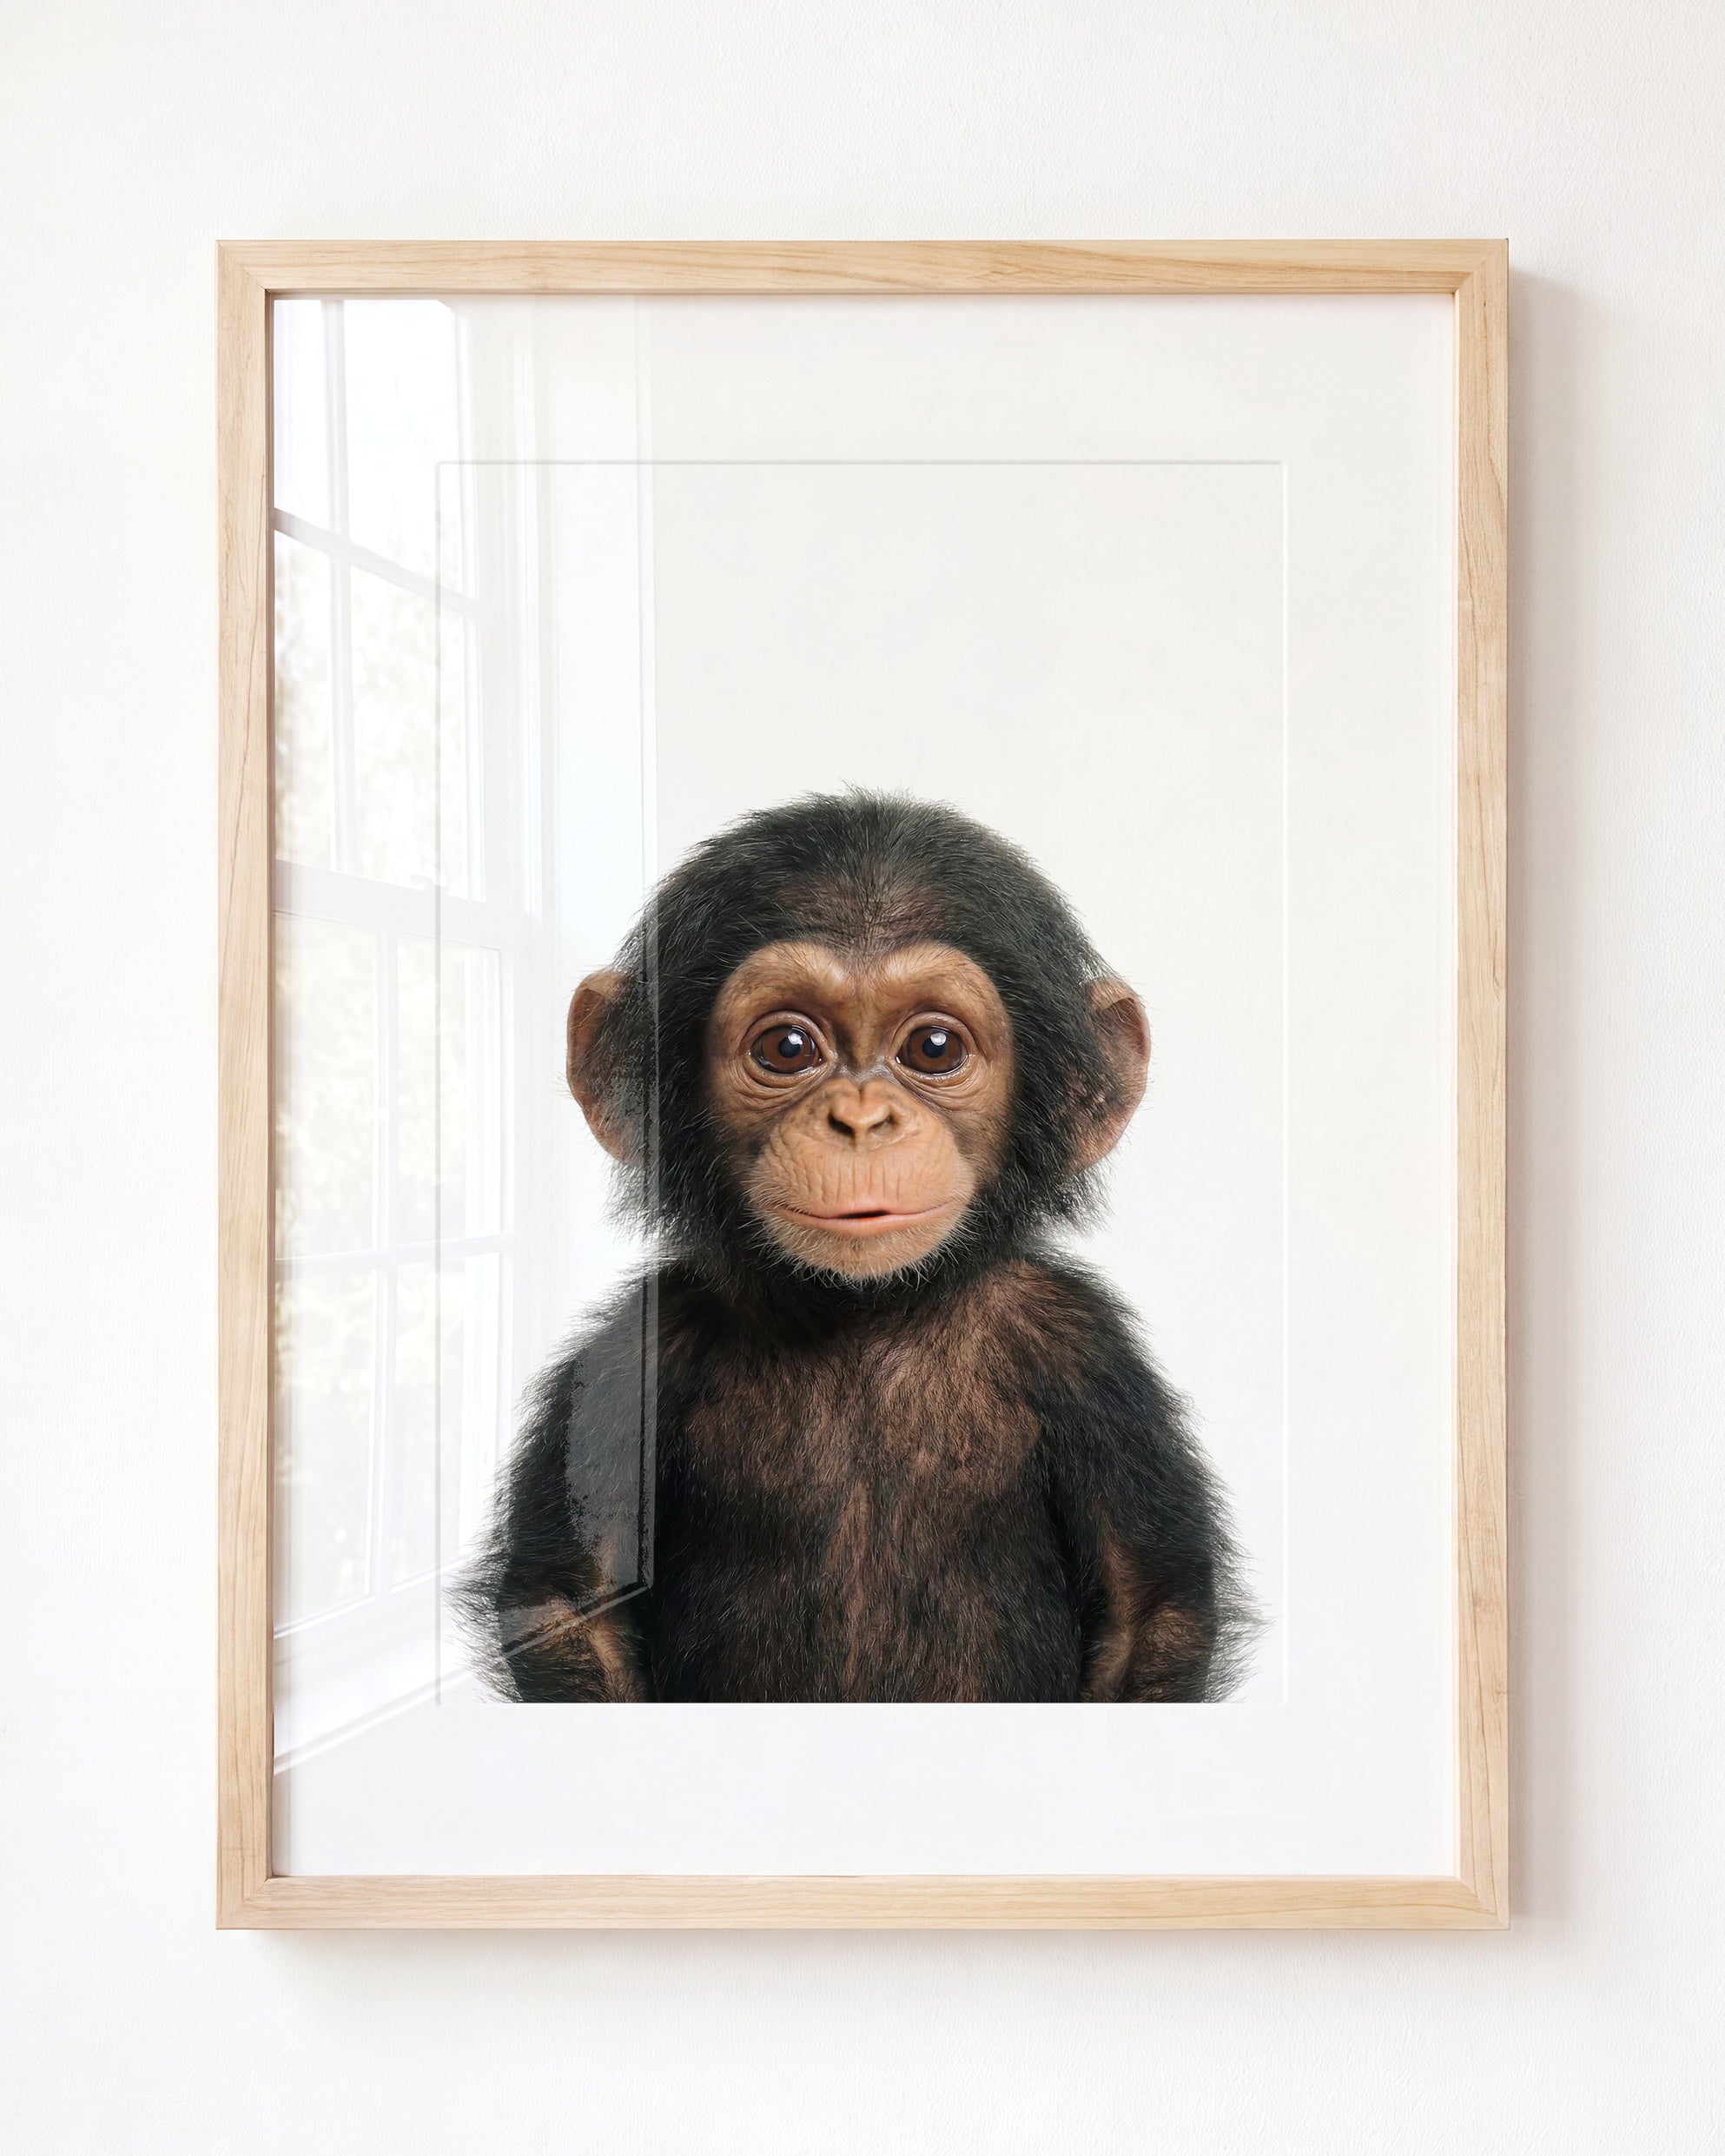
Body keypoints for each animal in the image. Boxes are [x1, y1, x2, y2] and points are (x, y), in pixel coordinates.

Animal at [459, 792, 1256, 1703]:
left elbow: (1147, 1609)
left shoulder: (1086, 1352)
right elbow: (570, 1600)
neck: (864, 1314)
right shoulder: (635, 1352)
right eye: (787, 1047)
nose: (862, 1120)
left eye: (934, 1048)